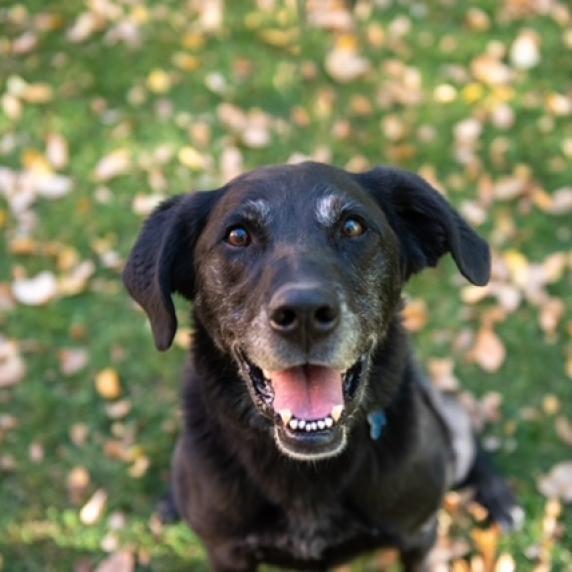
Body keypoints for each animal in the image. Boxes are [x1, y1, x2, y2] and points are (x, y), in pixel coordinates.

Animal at [125, 163, 524, 568]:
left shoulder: (419, 535)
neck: (306, 472)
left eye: (352, 227)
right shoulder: (226, 553)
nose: (304, 314)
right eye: (237, 235)